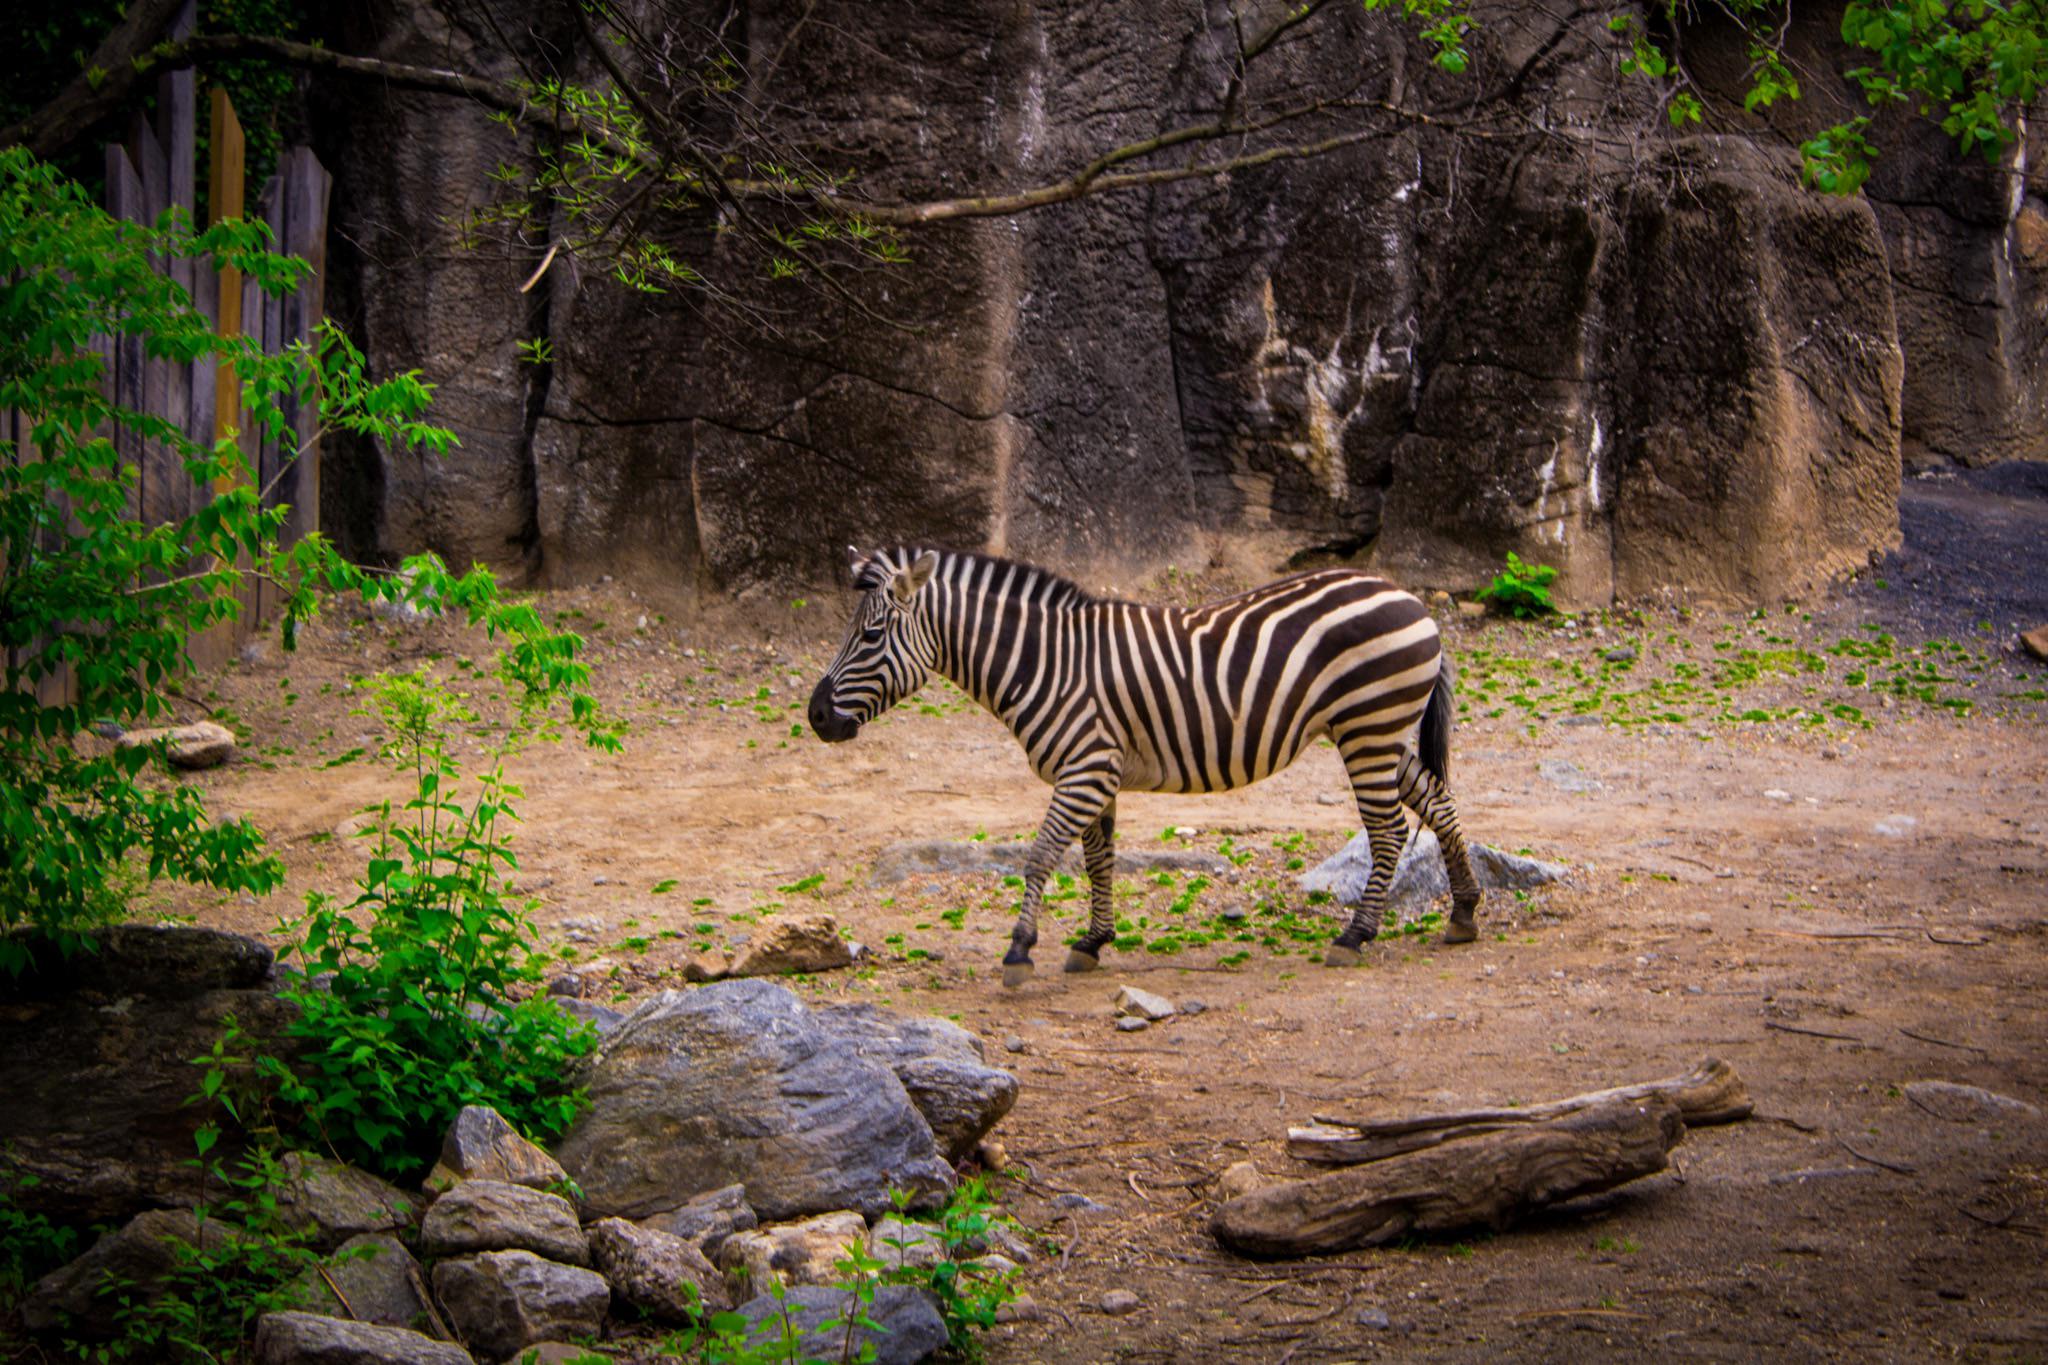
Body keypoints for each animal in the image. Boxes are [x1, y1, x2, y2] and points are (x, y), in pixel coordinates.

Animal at [808, 547, 1482, 988]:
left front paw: (1020, 950)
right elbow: (1098, 859)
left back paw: (1355, 935)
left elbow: (1041, 855)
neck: (1044, 661)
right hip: (1379, 732)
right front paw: (1092, 942)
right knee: (1440, 803)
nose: (815, 717)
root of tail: (1413, 601)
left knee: (1389, 831)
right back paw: (1464, 913)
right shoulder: (1095, 773)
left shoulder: (1083, 770)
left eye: (870, 637)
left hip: (1369, 728)